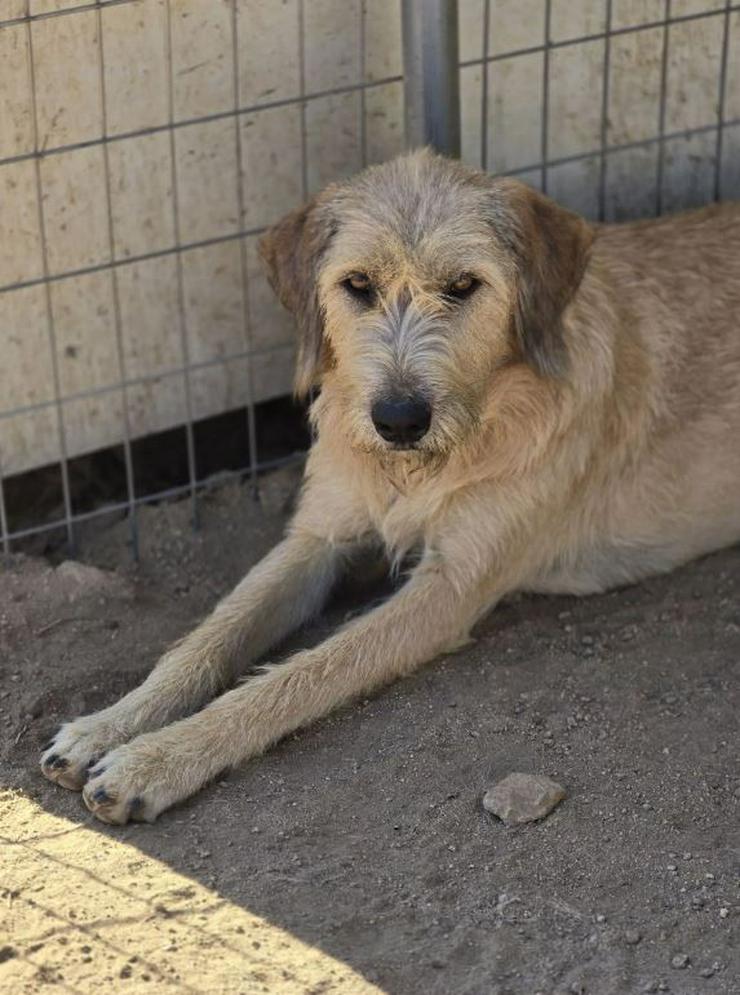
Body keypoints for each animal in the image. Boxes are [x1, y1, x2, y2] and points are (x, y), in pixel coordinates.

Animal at [40, 150, 740, 824]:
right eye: (357, 285)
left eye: (463, 286)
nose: (399, 419)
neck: (435, 460)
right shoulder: (319, 538)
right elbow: (207, 639)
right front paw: (110, 724)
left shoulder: (449, 588)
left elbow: (299, 675)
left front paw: (153, 761)